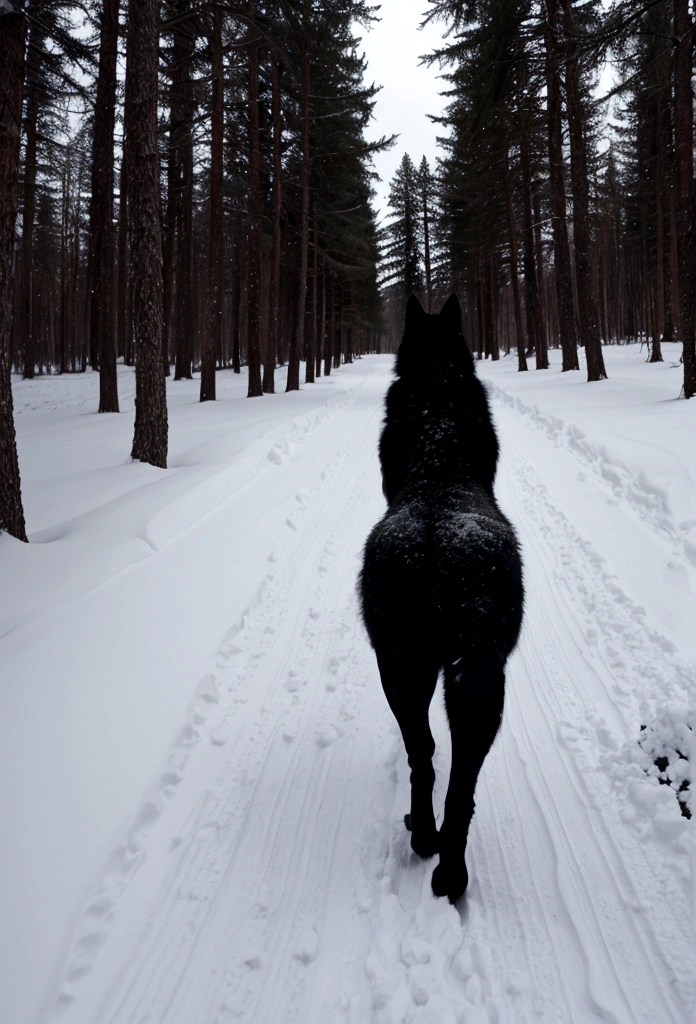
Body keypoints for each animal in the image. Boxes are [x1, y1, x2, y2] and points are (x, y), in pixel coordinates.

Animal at [358, 292, 522, 901]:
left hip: (407, 666)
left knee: (429, 758)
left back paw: (433, 848)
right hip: (463, 675)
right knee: (448, 772)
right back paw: (443, 861)